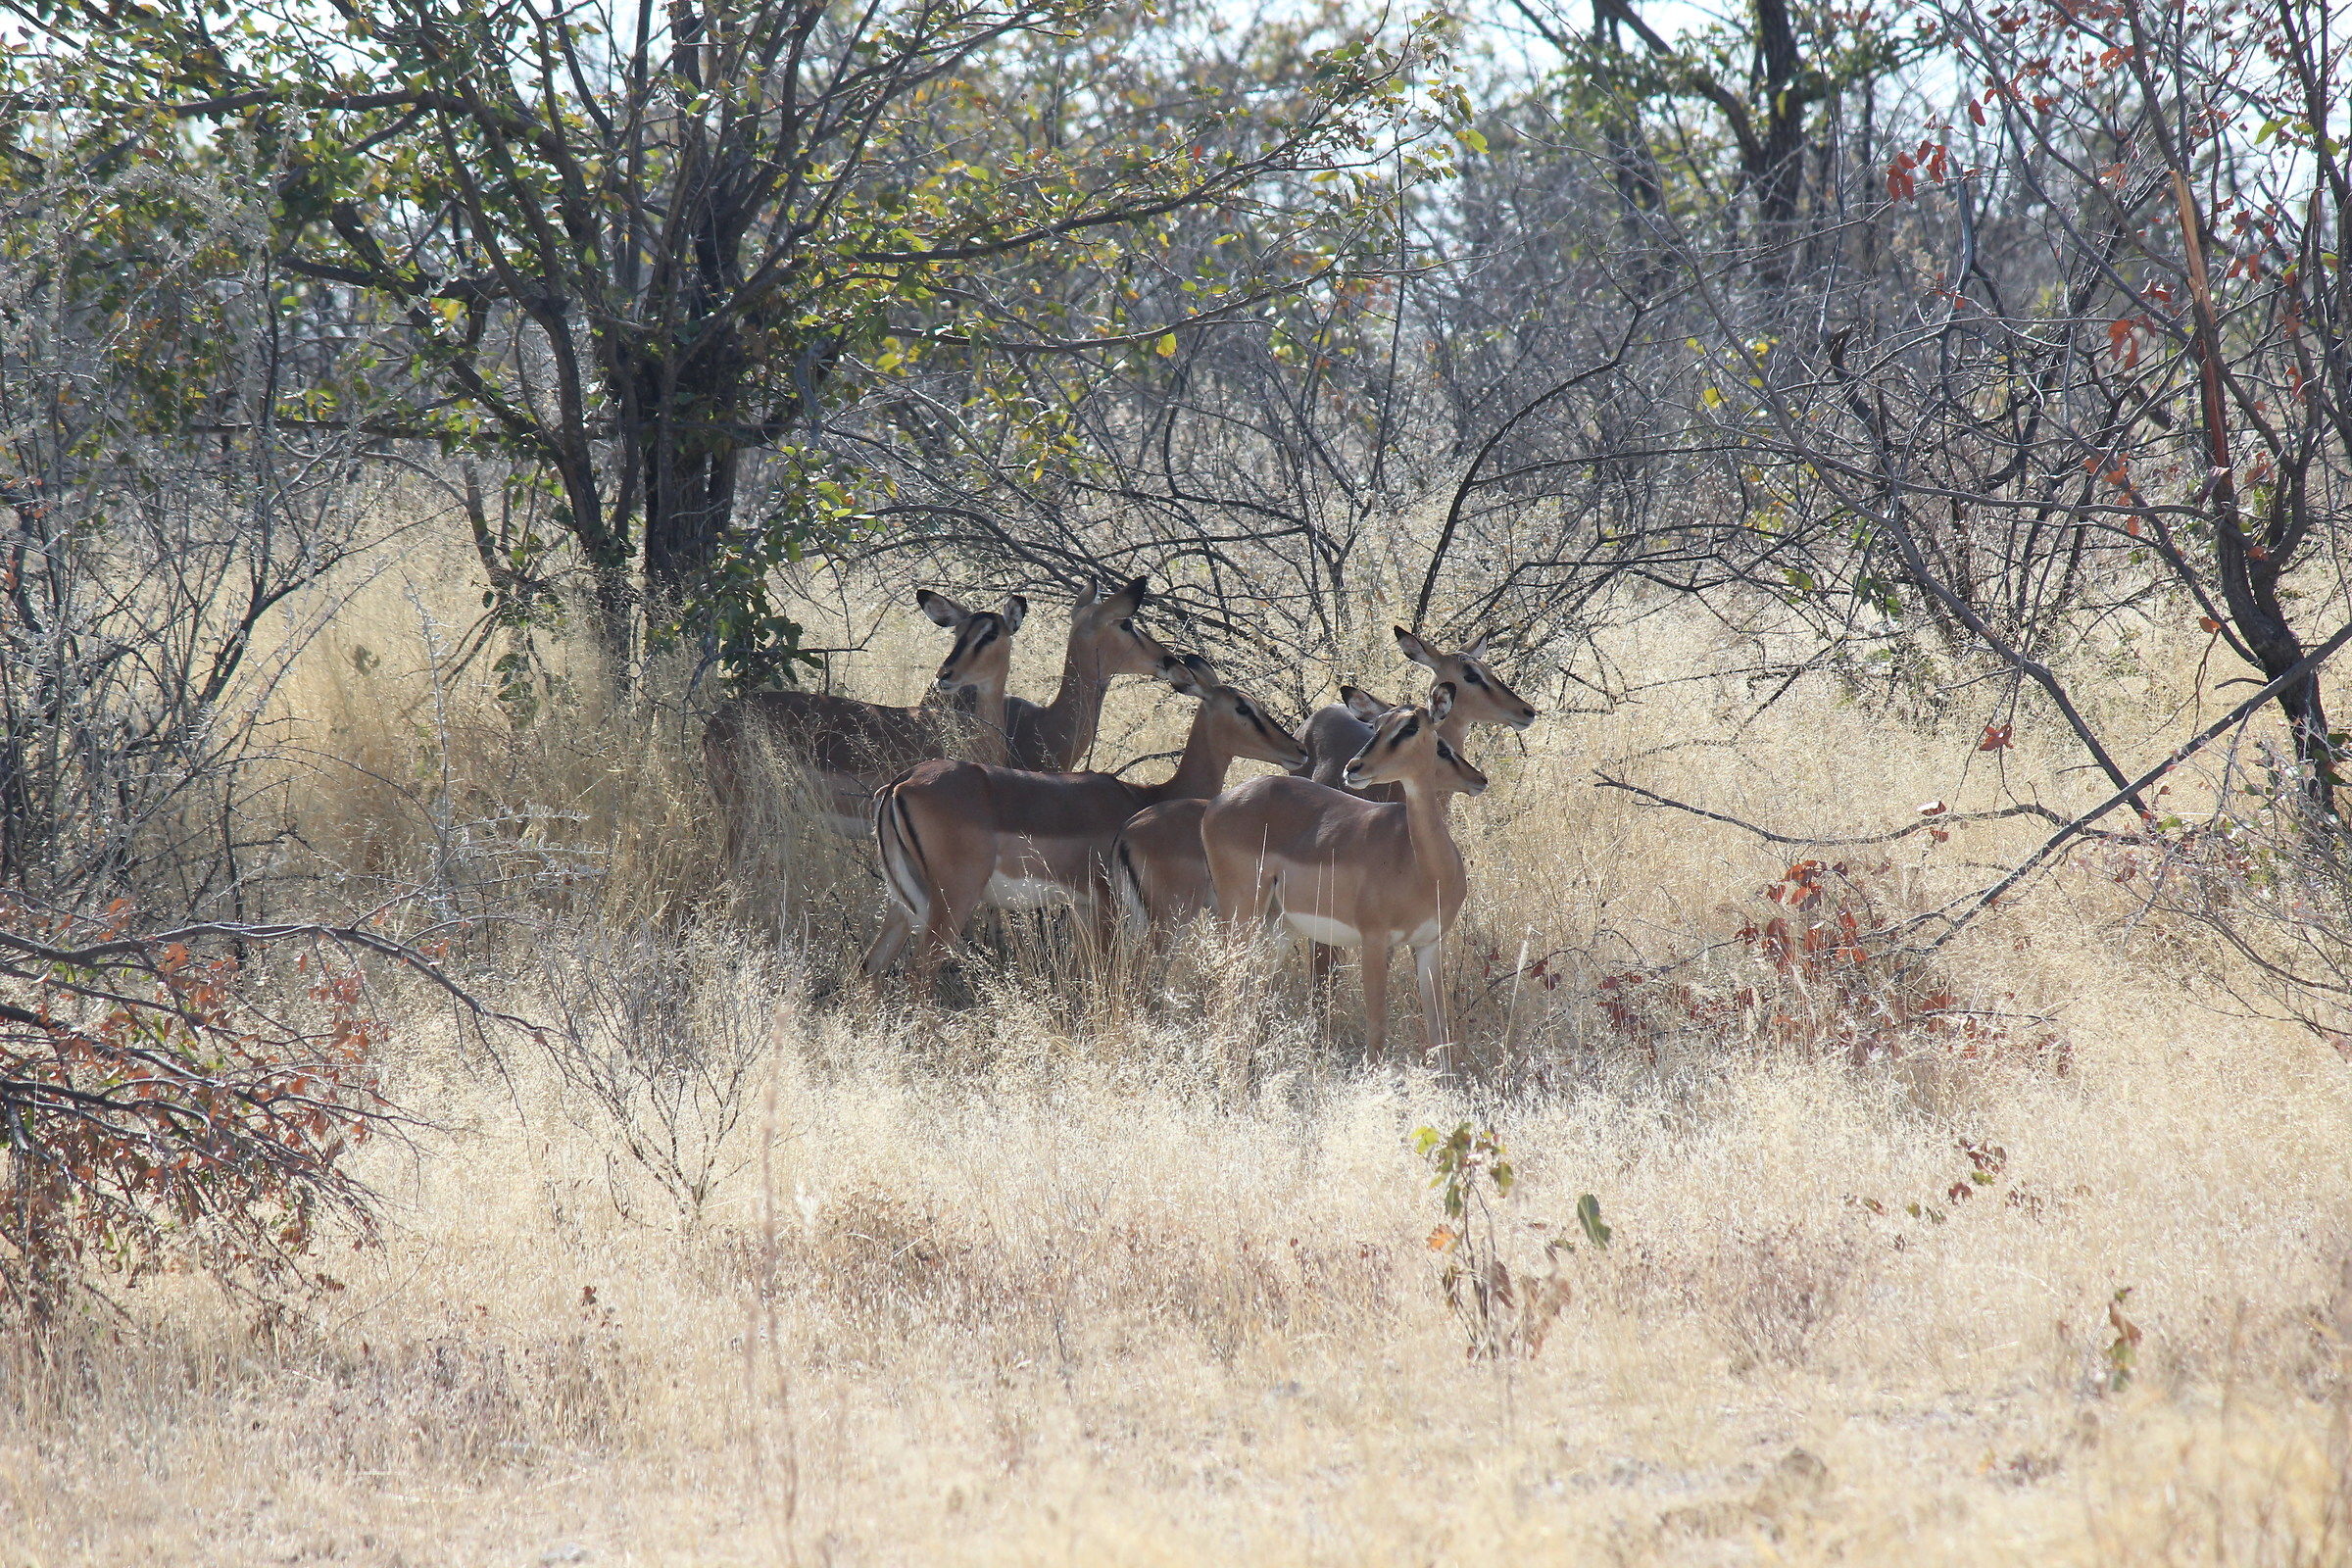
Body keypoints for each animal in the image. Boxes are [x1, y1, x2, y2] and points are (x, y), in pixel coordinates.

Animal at [863, 653, 1308, 993]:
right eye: (1243, 707)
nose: (1298, 749)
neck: (1143, 798)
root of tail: (902, 783)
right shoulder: (1105, 903)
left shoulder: (1080, 905)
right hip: (952, 901)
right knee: (918, 973)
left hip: (903, 904)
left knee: (871, 967)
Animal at [1201, 684, 1488, 1071]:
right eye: (1377, 726)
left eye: (1411, 726)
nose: (1354, 767)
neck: (1425, 868)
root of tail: (1217, 803)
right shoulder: (1374, 942)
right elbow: (1377, 1030)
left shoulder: (1430, 944)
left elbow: (1439, 1030)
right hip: (1242, 916)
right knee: (1226, 989)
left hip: (1278, 927)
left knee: (1249, 992)